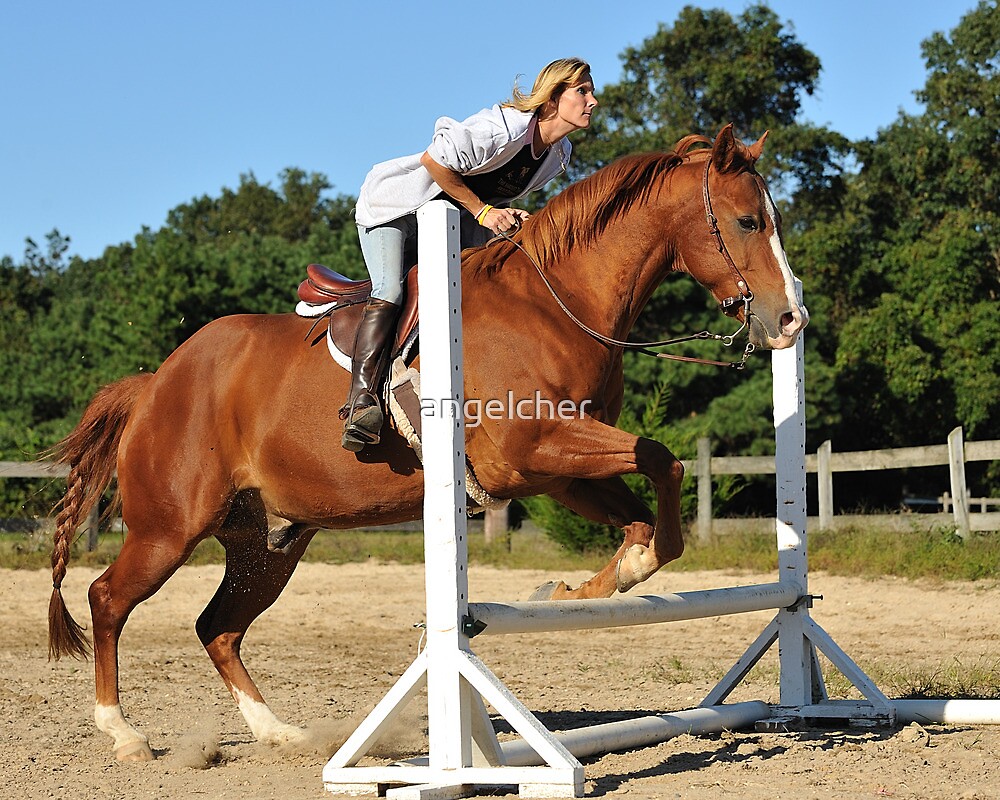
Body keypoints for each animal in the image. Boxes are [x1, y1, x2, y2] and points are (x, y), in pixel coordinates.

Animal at [47, 124, 808, 761]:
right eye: (747, 221)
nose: (790, 320)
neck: (557, 303)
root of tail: (155, 382)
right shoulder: (531, 454)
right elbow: (661, 459)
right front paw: (591, 582)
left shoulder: (561, 470)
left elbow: (650, 512)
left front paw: (585, 585)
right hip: (170, 527)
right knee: (108, 599)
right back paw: (124, 734)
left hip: (268, 541)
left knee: (219, 627)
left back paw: (279, 732)